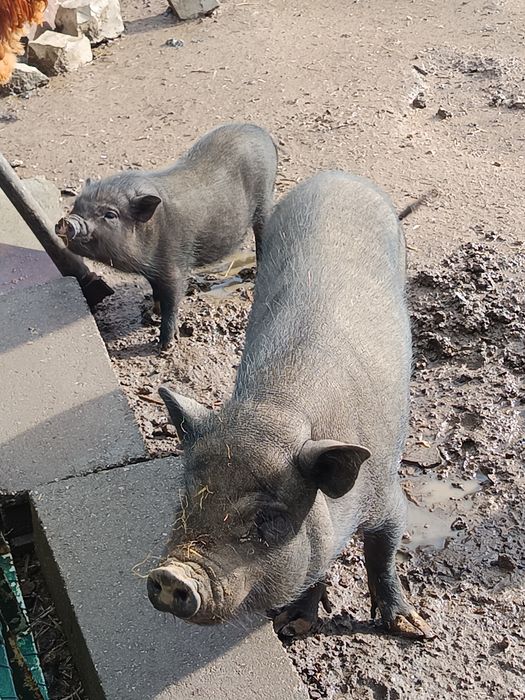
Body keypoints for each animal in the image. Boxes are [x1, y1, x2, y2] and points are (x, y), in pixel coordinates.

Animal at [55, 123, 278, 349]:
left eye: (110, 215)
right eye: (76, 205)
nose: (67, 221)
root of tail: (261, 132)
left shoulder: (174, 265)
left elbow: (172, 299)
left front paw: (165, 345)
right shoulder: (153, 270)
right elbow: (156, 292)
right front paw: (151, 315)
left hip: (264, 200)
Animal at [147, 171, 434, 641]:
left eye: (267, 519)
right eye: (187, 497)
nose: (172, 576)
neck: (277, 408)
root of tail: (338, 175)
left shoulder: (388, 498)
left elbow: (383, 556)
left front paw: (413, 628)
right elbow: (313, 569)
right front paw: (293, 626)